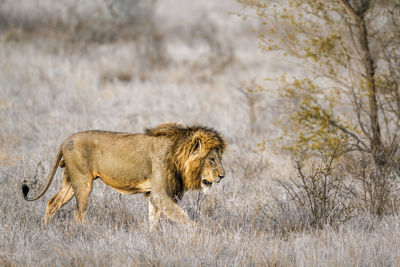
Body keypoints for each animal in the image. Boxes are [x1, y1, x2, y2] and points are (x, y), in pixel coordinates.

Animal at [21, 123, 227, 230]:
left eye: (218, 158)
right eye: (211, 160)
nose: (222, 176)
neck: (177, 154)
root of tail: (66, 140)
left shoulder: (155, 195)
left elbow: (154, 219)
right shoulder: (160, 194)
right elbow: (183, 216)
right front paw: (198, 233)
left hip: (70, 183)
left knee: (52, 203)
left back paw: (44, 229)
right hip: (83, 182)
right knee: (78, 214)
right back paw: (84, 234)